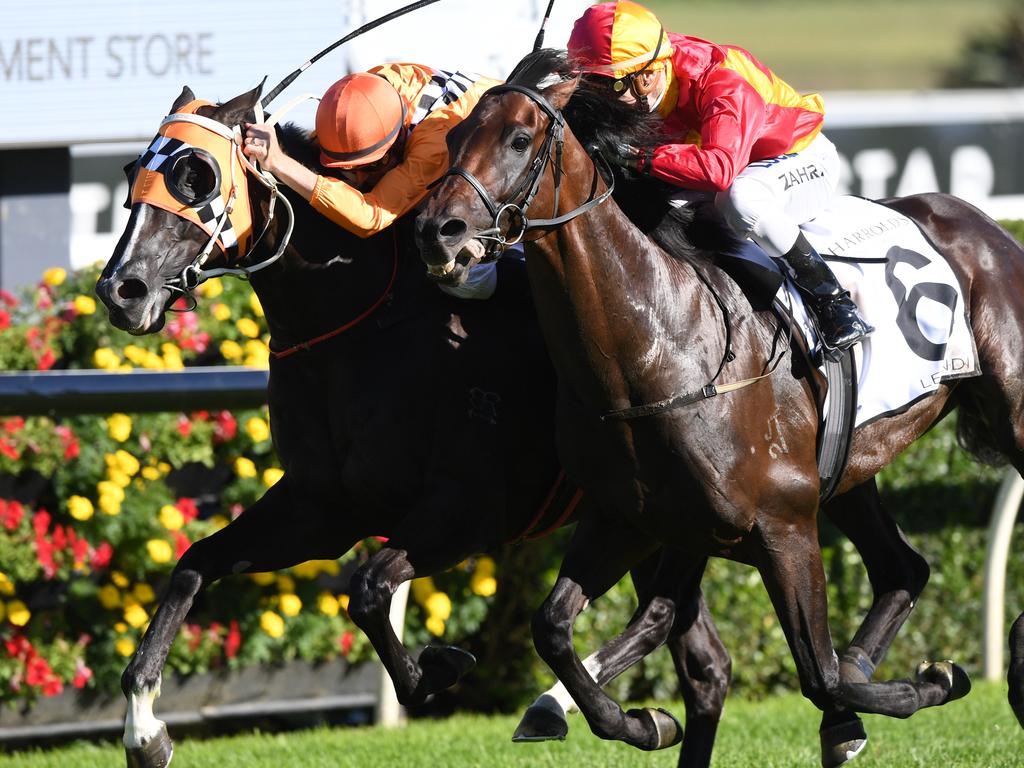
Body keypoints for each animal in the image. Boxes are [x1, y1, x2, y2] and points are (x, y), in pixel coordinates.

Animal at [96, 83, 733, 768]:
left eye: (196, 176)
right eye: (132, 173)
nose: (121, 291)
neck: (357, 326)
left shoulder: (469, 511)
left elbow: (371, 587)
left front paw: (438, 668)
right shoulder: (322, 507)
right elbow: (194, 563)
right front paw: (144, 731)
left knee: (670, 625)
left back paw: (570, 707)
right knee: (705, 663)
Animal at [417, 48, 1024, 765]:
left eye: (518, 138)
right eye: (453, 136)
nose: (436, 231)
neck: (660, 348)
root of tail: (981, 222)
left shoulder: (784, 527)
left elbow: (819, 675)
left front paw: (933, 680)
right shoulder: (631, 518)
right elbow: (554, 626)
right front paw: (637, 721)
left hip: (1006, 417)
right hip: (845, 468)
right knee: (902, 569)